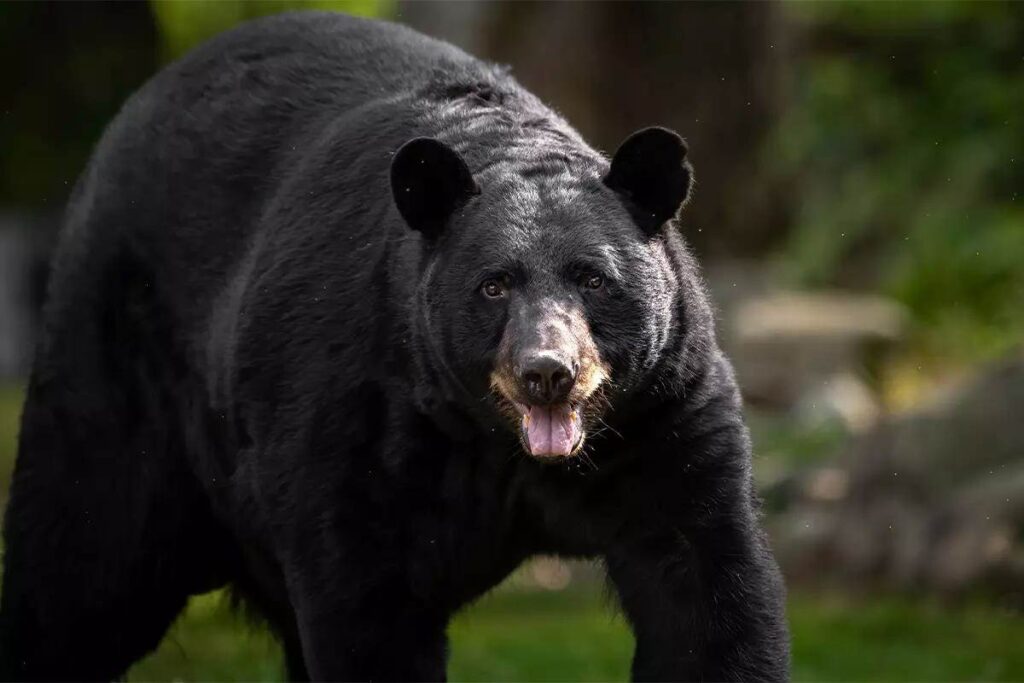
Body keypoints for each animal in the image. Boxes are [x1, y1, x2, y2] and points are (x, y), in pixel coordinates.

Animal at [0, 11, 789, 682]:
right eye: (493, 285)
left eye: (593, 278)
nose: (547, 373)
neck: (499, 443)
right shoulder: (358, 416)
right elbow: (365, 606)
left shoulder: (663, 416)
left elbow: (706, 591)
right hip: (119, 380)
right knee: (80, 569)